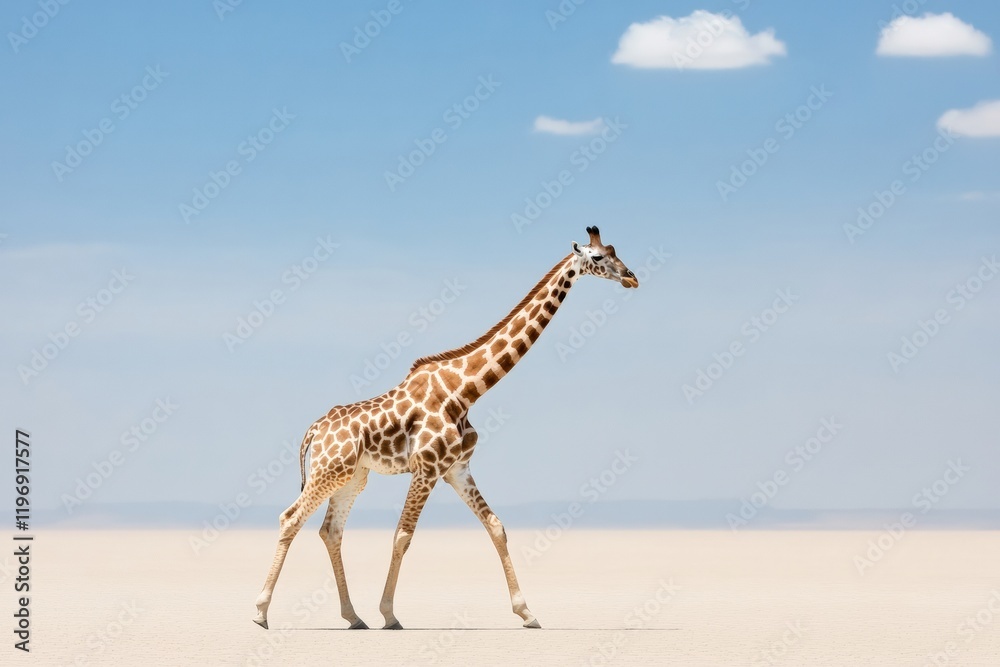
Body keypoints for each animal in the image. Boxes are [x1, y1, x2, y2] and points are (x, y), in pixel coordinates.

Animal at [253, 226, 639, 631]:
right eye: (597, 257)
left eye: (614, 250)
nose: (631, 277)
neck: (466, 389)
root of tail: (313, 430)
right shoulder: (427, 468)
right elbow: (403, 536)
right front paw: (389, 614)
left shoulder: (457, 468)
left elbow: (496, 527)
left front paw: (527, 612)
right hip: (329, 470)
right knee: (290, 518)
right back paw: (261, 612)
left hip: (352, 477)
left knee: (331, 531)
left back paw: (353, 616)